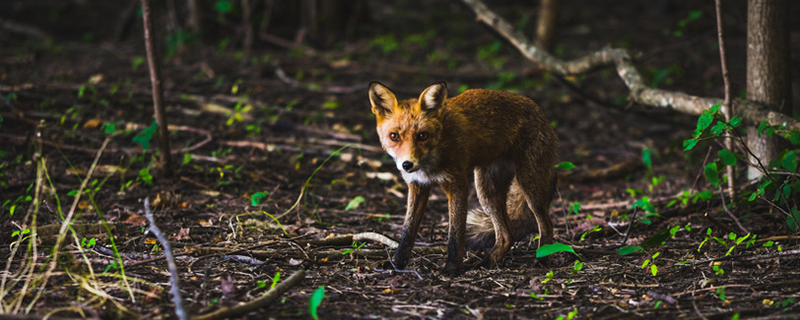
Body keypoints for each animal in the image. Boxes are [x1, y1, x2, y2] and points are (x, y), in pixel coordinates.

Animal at [368, 81, 556, 274]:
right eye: (394, 136)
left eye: (422, 136)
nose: (407, 164)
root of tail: (537, 108)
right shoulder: (417, 187)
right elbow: (407, 231)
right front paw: (396, 263)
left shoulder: (457, 184)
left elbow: (455, 234)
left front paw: (451, 268)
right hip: (487, 193)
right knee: (507, 236)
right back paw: (486, 263)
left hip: (529, 186)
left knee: (547, 225)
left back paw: (542, 260)